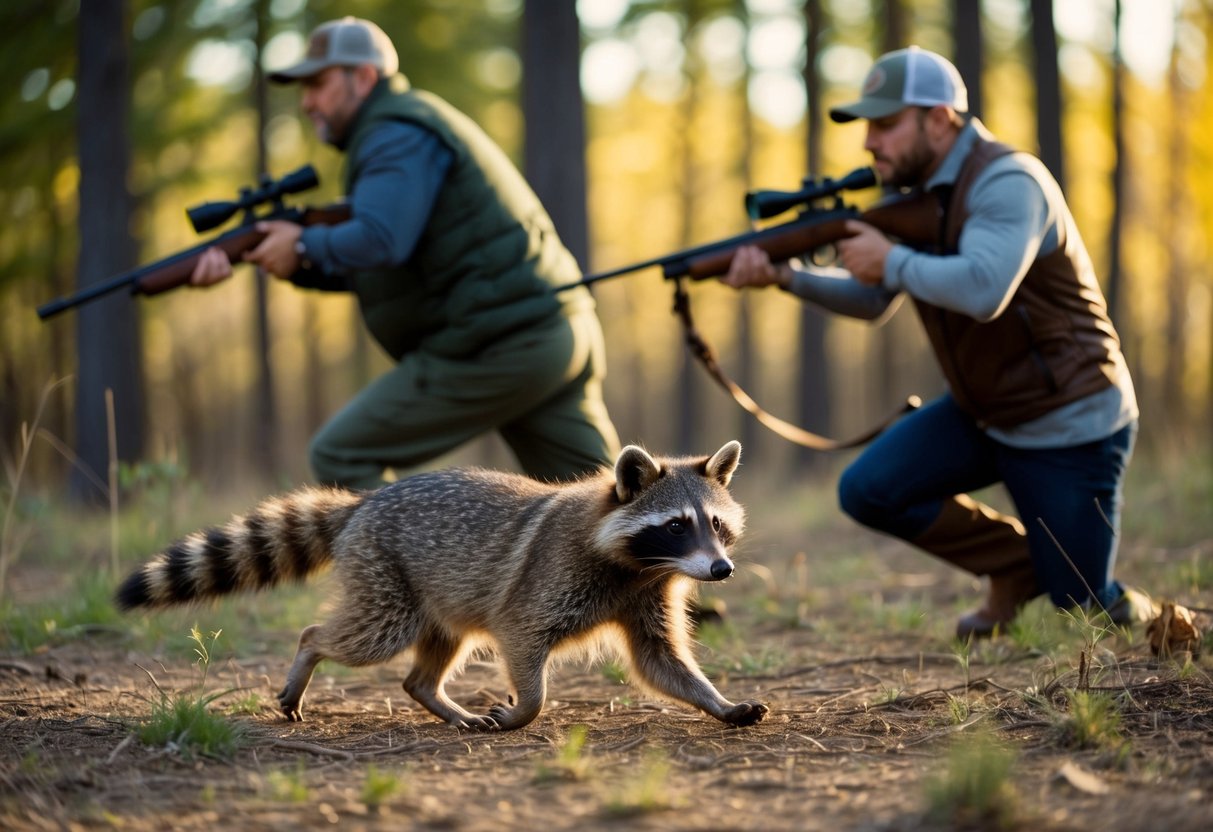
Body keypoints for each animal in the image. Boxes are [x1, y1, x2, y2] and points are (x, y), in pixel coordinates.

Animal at [115, 441, 767, 731]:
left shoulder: (645, 596)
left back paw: (436, 697)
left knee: (428, 661)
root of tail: (362, 503)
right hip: (386, 579)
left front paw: (717, 701)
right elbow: (521, 640)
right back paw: (310, 652)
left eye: (715, 524)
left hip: (438, 598)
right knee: (355, 636)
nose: (721, 571)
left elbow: (661, 662)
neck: (641, 563)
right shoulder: (547, 582)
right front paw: (526, 707)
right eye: (676, 525)